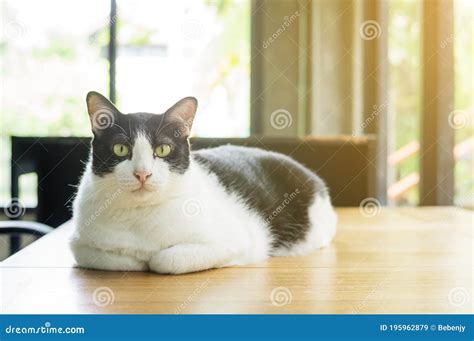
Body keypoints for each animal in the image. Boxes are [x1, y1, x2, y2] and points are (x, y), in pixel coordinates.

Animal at [70, 91, 336, 274]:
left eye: (163, 149)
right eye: (121, 149)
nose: (142, 174)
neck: (140, 218)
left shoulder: (238, 240)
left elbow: (164, 259)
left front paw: (153, 259)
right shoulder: (79, 245)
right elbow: (119, 258)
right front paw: (137, 257)